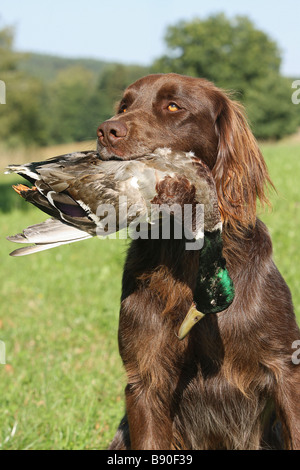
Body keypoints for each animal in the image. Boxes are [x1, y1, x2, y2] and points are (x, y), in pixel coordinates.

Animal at [96, 72, 300, 448]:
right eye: (124, 106)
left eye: (174, 106)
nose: (106, 130)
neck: (188, 259)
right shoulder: (145, 379)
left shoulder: (285, 367)